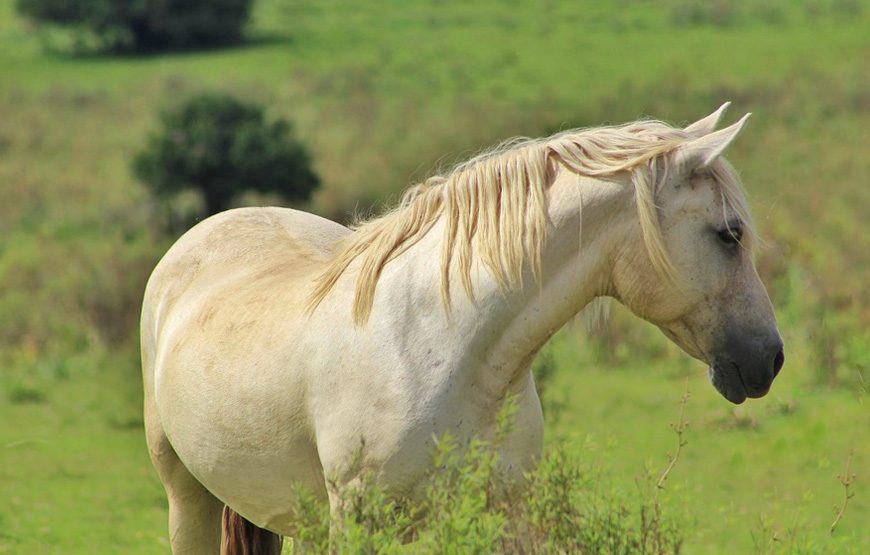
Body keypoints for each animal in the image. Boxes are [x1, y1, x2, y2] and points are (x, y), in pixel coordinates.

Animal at [141, 103, 784, 552]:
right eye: (729, 234)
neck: (444, 352)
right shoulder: (358, 523)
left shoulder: (507, 518)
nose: (771, 359)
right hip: (187, 498)